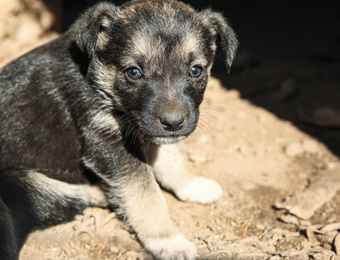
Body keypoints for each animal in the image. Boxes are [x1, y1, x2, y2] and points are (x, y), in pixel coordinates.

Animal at [0, 1, 236, 258]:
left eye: (196, 70)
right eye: (133, 72)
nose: (173, 123)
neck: (97, 76)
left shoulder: (148, 131)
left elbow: (171, 158)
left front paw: (191, 185)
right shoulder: (107, 143)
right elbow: (146, 193)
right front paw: (169, 240)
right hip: (21, 184)